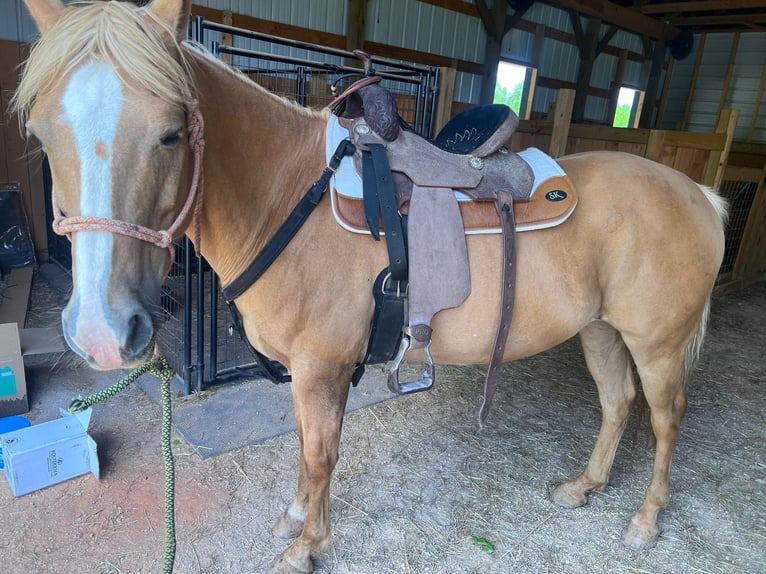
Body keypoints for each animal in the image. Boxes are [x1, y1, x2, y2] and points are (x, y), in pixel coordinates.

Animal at [16, 1, 728, 572]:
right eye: (43, 134)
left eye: (169, 133)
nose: (101, 332)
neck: (286, 201)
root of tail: (698, 192)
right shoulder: (308, 373)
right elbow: (305, 449)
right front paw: (295, 521)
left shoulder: (322, 368)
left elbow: (319, 455)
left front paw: (306, 548)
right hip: (601, 330)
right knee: (617, 403)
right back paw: (583, 486)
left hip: (657, 343)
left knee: (666, 417)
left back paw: (644, 522)